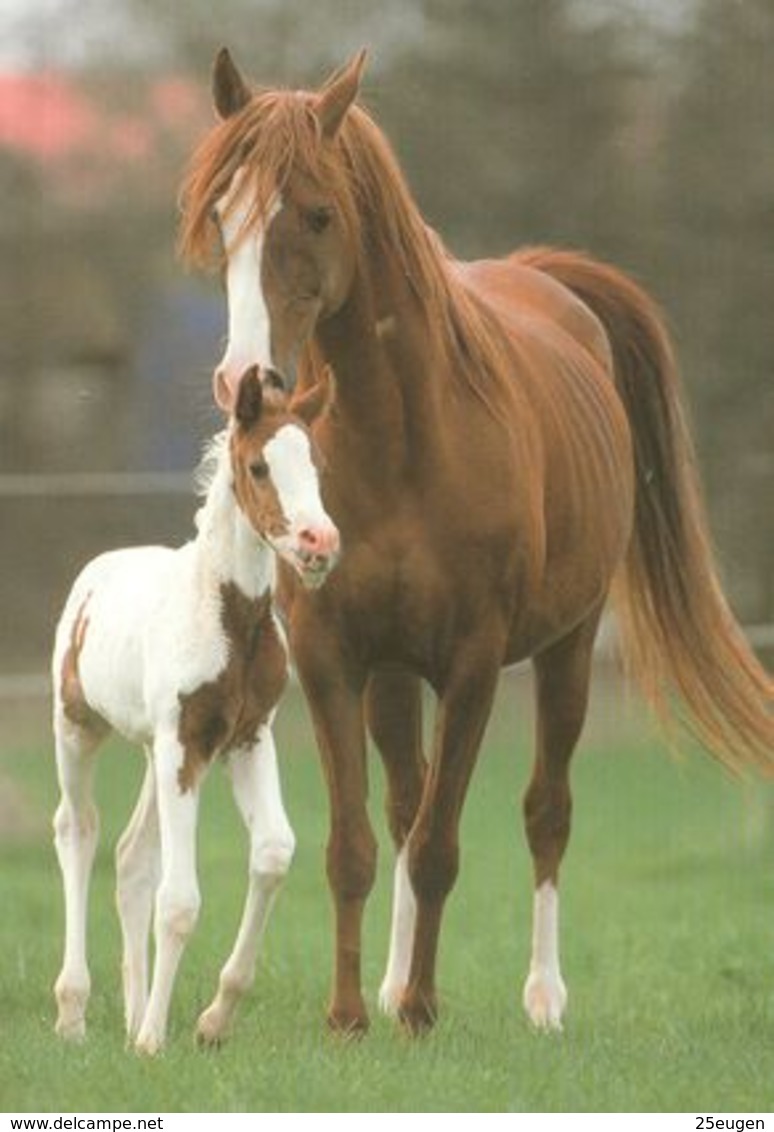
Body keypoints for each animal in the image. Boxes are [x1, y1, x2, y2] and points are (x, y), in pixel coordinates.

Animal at [49, 371, 337, 1050]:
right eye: (259, 466)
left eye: (316, 462)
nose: (320, 543)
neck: (230, 617)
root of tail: (98, 570)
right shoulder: (185, 743)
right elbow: (179, 899)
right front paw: (155, 1041)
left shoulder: (244, 739)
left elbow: (273, 852)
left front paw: (212, 1019)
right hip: (78, 729)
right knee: (78, 830)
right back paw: (74, 1012)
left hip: (157, 753)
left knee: (131, 856)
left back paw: (129, 1016)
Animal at [176, 48, 774, 1036]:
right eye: (223, 214)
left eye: (318, 213)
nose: (242, 379)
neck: (400, 443)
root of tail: (544, 279)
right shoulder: (334, 657)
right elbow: (357, 843)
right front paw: (353, 1016)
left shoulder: (473, 662)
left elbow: (442, 848)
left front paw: (421, 1012)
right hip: (390, 676)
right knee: (404, 801)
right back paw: (390, 983)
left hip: (569, 649)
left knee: (545, 812)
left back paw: (543, 997)